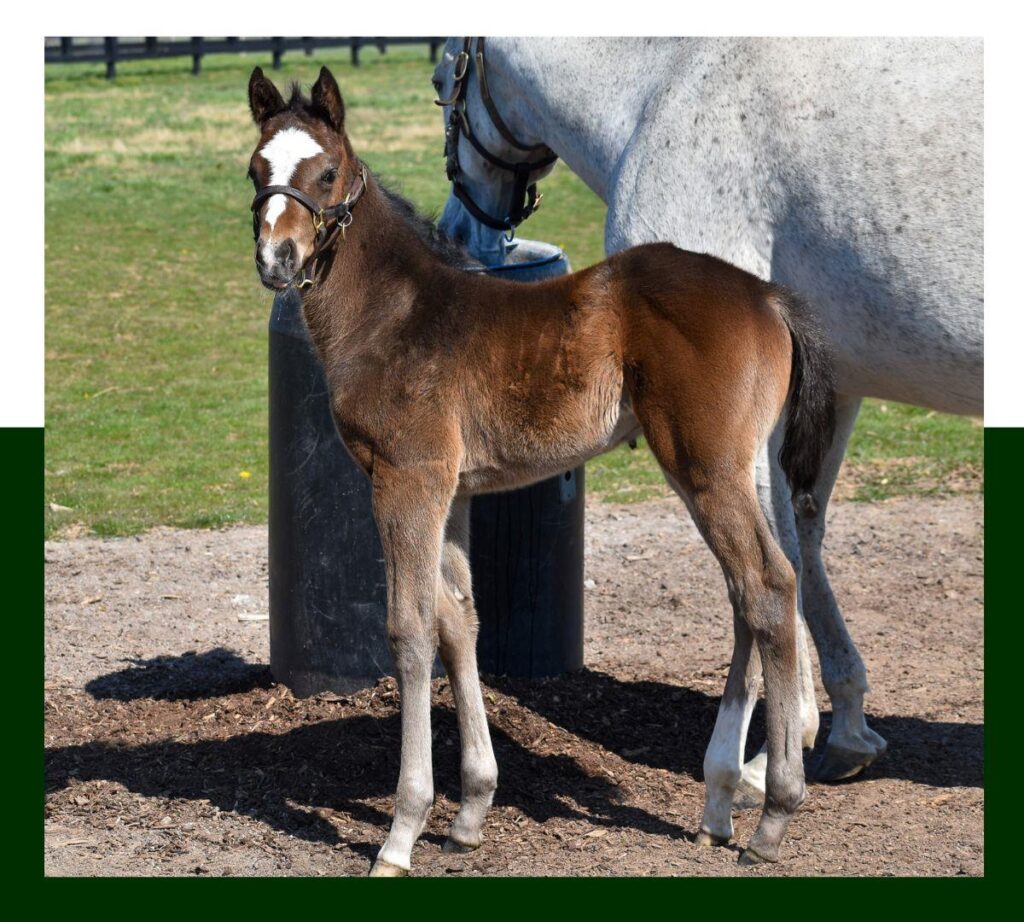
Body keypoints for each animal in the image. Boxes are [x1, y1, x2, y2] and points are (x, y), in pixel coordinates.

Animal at [247, 65, 837, 873]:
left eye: (327, 172)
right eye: (256, 170)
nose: (276, 260)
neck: (394, 313)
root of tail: (768, 295)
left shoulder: (407, 480)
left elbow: (410, 631)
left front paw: (402, 829)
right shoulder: (452, 491)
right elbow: (459, 621)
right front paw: (470, 810)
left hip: (706, 466)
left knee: (769, 587)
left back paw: (774, 814)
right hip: (725, 469)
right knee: (748, 591)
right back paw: (718, 804)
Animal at [433, 37, 983, 798]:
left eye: (441, 84)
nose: (455, 231)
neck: (663, 85)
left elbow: (769, 567)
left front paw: (766, 754)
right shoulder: (832, 391)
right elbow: (804, 541)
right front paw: (842, 727)